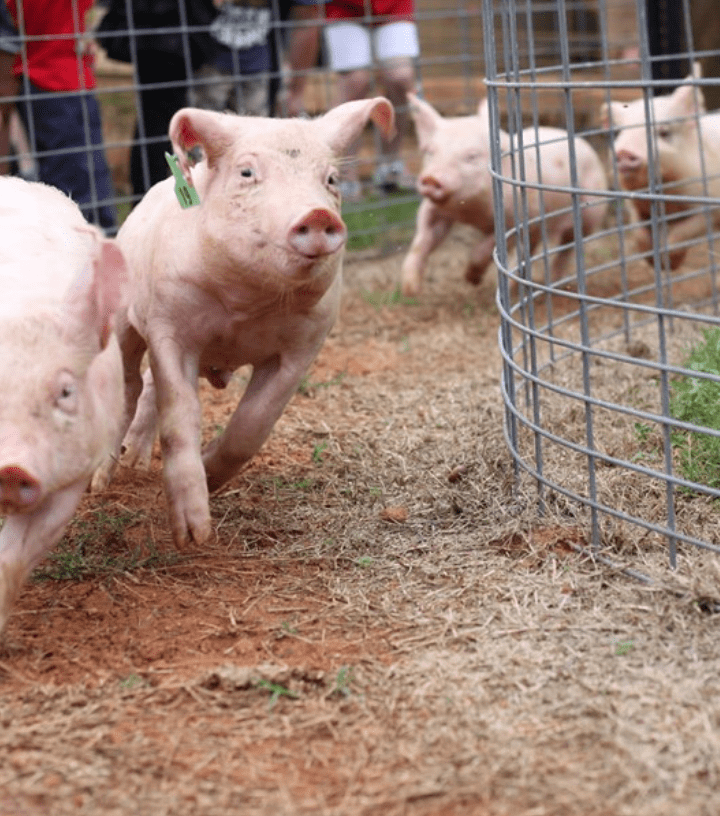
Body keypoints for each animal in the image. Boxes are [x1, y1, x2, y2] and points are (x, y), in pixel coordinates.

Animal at [93, 97, 396, 548]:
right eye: (247, 173)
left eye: (331, 179)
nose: (318, 215)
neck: (244, 309)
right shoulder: (169, 327)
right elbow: (180, 417)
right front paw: (193, 536)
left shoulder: (305, 344)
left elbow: (252, 426)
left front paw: (209, 478)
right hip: (125, 322)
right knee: (129, 384)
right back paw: (101, 481)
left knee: (145, 386)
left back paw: (136, 463)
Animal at [402, 93, 612, 296]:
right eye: (430, 152)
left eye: (471, 156)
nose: (431, 178)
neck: (471, 212)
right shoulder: (433, 210)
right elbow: (422, 240)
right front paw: (410, 289)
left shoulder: (514, 218)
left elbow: (487, 247)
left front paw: (471, 278)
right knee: (530, 249)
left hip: (591, 212)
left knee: (569, 245)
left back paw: (552, 282)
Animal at [600, 63, 720, 270]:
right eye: (620, 132)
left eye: (664, 132)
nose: (624, 152)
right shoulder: (635, 207)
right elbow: (639, 233)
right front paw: (653, 262)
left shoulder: (710, 203)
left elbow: (683, 231)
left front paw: (670, 264)